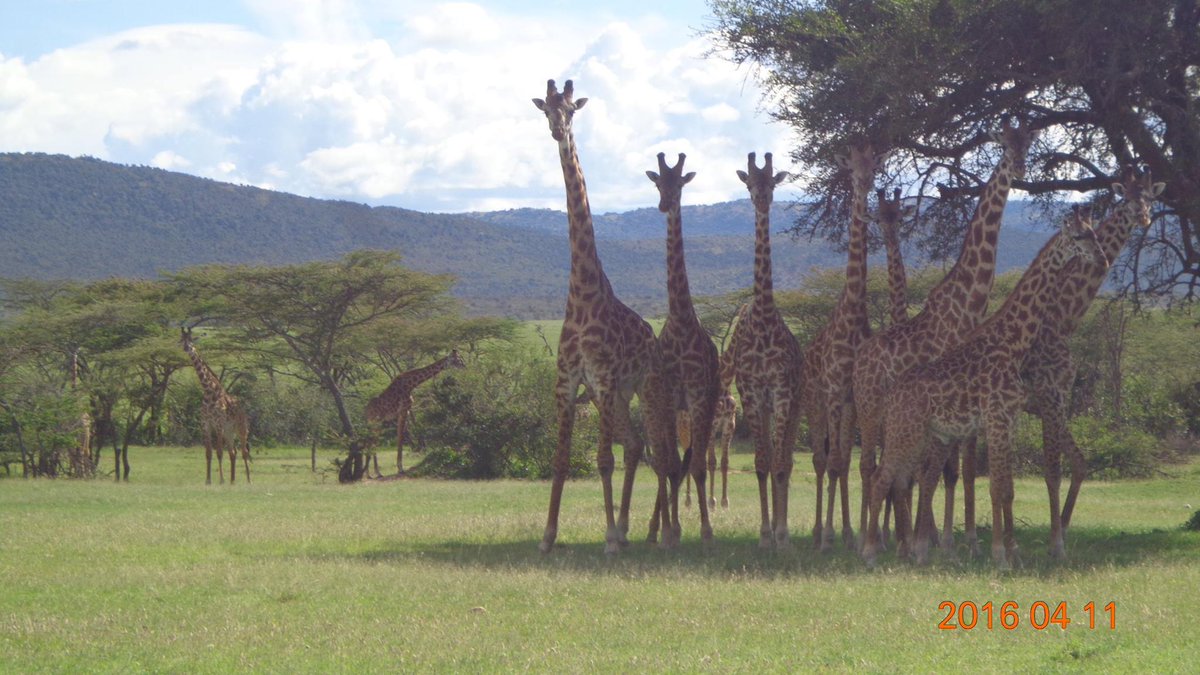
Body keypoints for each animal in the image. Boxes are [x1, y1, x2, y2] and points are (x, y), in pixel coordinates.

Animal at [180, 328, 251, 485]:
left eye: (191, 340)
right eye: (182, 340)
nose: (187, 348)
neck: (208, 391)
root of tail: (243, 408)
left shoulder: (218, 424)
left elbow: (218, 452)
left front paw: (221, 480)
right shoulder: (205, 424)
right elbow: (208, 453)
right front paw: (208, 480)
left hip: (241, 429)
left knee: (244, 452)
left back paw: (249, 480)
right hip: (229, 431)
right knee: (233, 452)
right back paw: (232, 481)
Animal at [533, 79, 681, 554]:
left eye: (572, 111)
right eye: (546, 110)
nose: (559, 132)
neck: (582, 295)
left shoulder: (602, 377)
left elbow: (601, 459)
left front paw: (610, 539)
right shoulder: (568, 383)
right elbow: (561, 460)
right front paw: (548, 536)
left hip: (644, 388)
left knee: (653, 451)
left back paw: (651, 532)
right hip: (613, 397)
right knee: (633, 446)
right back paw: (628, 527)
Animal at [853, 118, 1035, 552]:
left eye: (1028, 143)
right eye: (1005, 145)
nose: (1020, 167)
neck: (969, 301)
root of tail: (859, 359)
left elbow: (961, 469)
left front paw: (960, 539)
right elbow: (937, 470)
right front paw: (938, 539)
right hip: (869, 407)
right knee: (869, 464)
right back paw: (870, 540)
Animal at [863, 209, 1107, 569]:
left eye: (1094, 233)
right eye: (1078, 237)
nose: (1102, 259)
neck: (1013, 342)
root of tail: (892, 395)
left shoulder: (1008, 421)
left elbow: (1007, 488)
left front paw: (1010, 552)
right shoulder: (994, 418)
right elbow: (995, 488)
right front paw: (1000, 556)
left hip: (922, 434)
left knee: (903, 480)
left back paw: (909, 552)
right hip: (905, 432)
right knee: (882, 478)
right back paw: (870, 553)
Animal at [956, 166, 1164, 559]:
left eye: (1149, 198)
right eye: (1127, 198)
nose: (1144, 217)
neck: (1064, 317)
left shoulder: (1057, 400)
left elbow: (1078, 462)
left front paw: (1061, 531)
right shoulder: (1049, 396)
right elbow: (1051, 470)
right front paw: (1054, 544)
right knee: (967, 466)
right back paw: (972, 540)